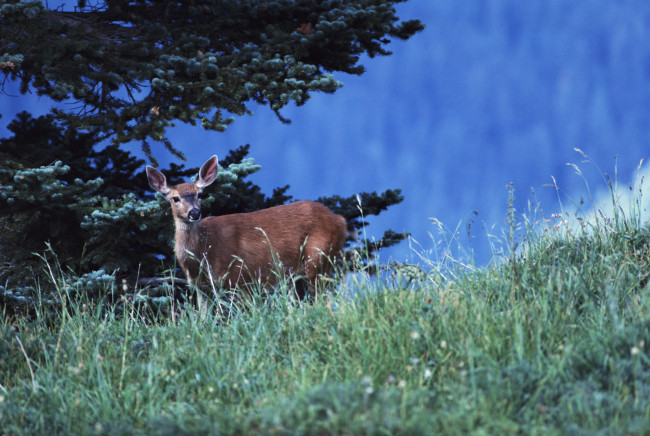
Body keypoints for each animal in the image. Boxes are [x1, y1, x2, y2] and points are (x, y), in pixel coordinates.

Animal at [144, 155, 346, 304]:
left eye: (200, 194)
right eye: (175, 198)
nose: (194, 212)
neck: (203, 251)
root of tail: (340, 220)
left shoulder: (240, 279)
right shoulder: (201, 288)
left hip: (318, 259)